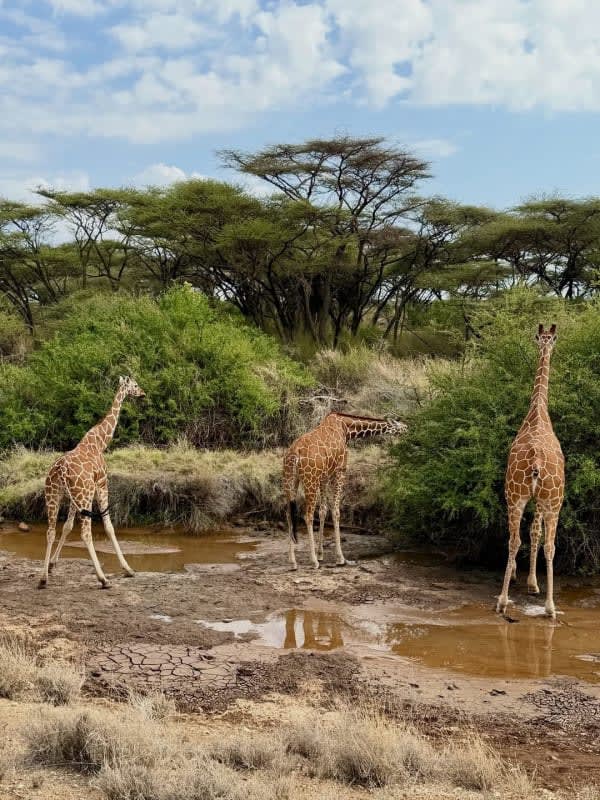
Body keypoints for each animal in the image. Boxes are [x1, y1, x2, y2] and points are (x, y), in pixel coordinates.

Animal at [38, 376, 146, 590]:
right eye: (135, 385)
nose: (143, 394)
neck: (100, 442)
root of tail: (61, 470)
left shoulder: (72, 498)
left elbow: (67, 526)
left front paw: (53, 564)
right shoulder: (102, 485)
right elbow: (109, 526)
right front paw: (128, 569)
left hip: (54, 495)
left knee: (51, 530)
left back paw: (43, 579)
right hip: (84, 495)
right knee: (86, 533)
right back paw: (103, 579)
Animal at [283, 412, 408, 570]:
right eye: (403, 427)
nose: (410, 431)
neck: (346, 429)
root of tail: (294, 455)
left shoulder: (325, 476)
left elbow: (323, 511)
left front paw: (321, 554)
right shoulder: (340, 471)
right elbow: (336, 512)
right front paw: (340, 558)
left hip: (290, 480)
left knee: (289, 514)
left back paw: (292, 561)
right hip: (310, 480)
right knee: (308, 515)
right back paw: (313, 561)